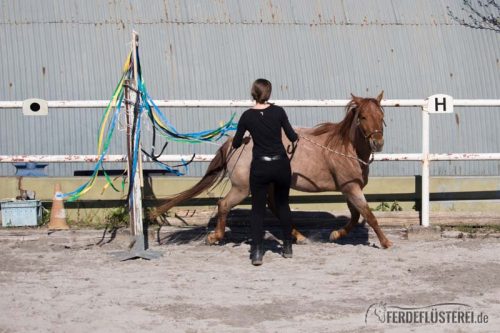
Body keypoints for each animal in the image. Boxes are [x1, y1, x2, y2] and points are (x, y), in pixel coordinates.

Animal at [150, 92, 392, 248]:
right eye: (363, 117)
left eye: (381, 116)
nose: (378, 143)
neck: (344, 147)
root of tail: (237, 142)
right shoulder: (350, 188)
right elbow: (368, 215)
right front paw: (386, 242)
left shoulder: (349, 188)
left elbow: (356, 216)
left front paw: (336, 234)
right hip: (242, 187)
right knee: (224, 204)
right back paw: (215, 237)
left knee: (273, 206)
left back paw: (298, 236)